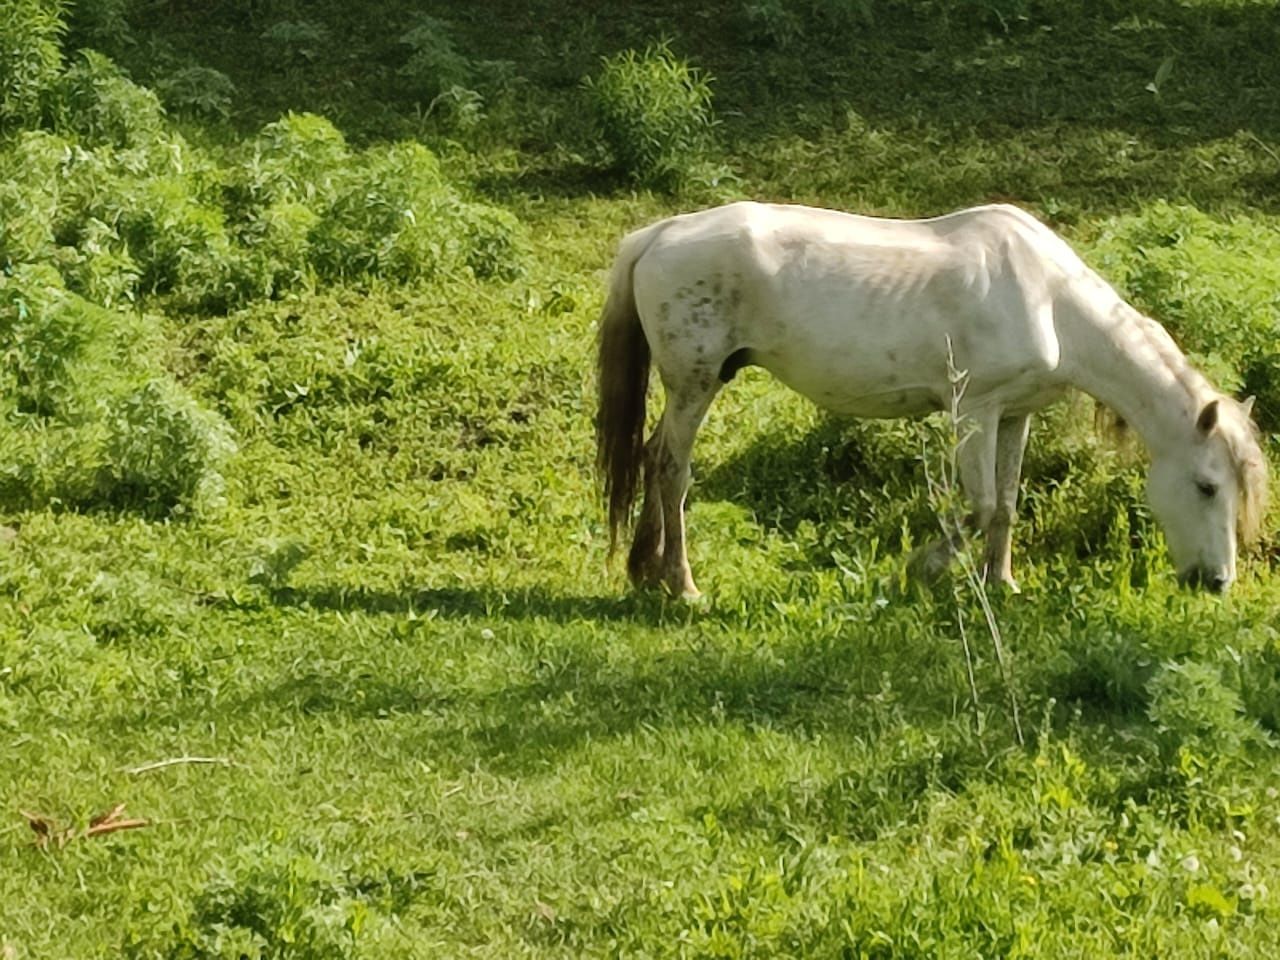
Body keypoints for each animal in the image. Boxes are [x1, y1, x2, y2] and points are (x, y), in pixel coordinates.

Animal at [593, 199, 1264, 599]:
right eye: (1207, 486)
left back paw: (644, 571)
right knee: (672, 468)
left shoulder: (1014, 414)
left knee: (651, 457)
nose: (1217, 582)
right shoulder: (974, 412)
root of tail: (659, 234)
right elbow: (979, 506)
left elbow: (1007, 506)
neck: (1049, 300)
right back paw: (681, 585)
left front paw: (1002, 582)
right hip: (696, 383)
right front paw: (920, 569)